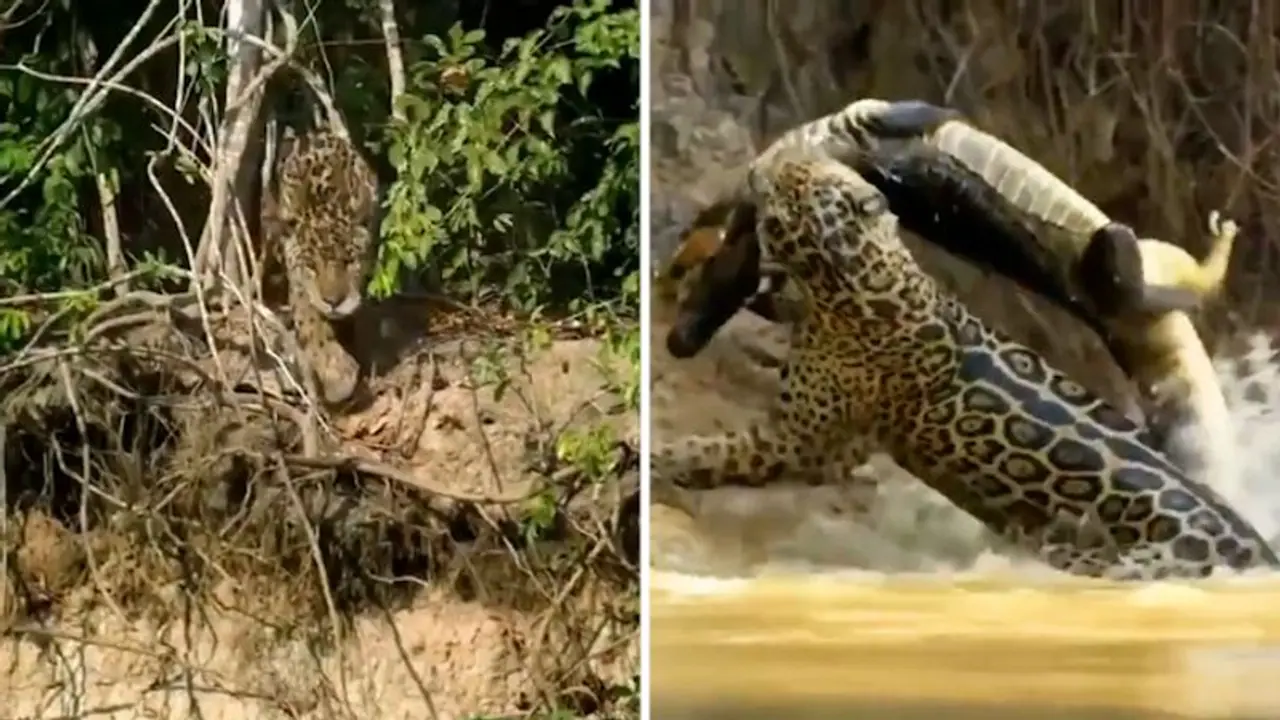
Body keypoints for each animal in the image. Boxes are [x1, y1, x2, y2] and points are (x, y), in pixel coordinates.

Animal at [264, 129, 380, 406]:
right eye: (311, 267)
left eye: (349, 262)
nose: (333, 302)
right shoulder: (300, 283)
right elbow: (311, 322)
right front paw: (337, 374)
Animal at [651, 147, 1279, 580]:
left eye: (799, 176)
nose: (768, 161)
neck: (854, 277)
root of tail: (1257, 551)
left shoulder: (803, 443)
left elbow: (715, 452)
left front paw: (659, 458)